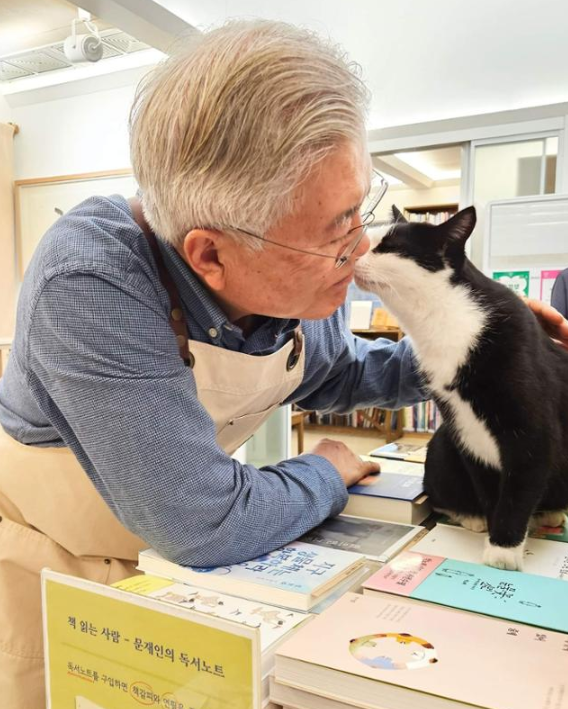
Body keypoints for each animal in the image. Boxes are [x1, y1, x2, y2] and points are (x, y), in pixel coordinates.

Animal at [356, 205, 568, 568]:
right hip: (443, 442)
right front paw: (491, 526)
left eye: (389, 246)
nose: (351, 254)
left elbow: (522, 480)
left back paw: (549, 513)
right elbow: (487, 484)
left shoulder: (533, 430)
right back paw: (472, 516)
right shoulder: (464, 428)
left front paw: (503, 551)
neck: (444, 323)